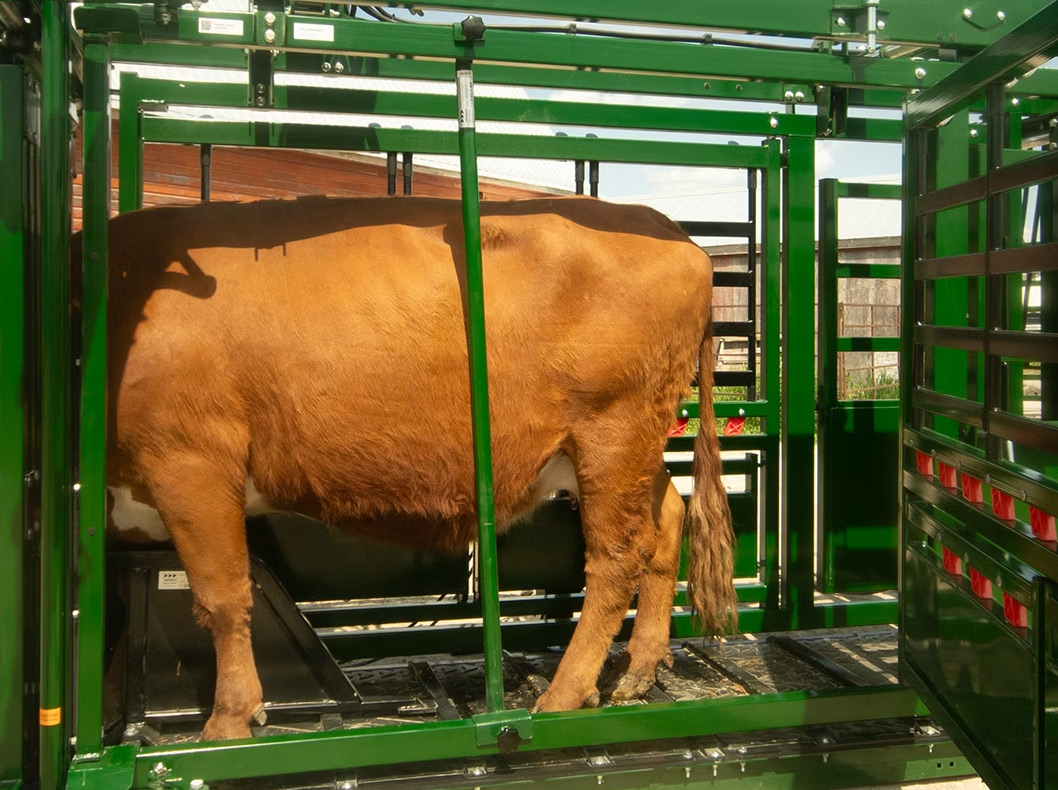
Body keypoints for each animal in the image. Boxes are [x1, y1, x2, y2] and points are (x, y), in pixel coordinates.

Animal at [96, 195, 736, 741]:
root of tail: (666, 227)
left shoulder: (189, 460)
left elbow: (221, 596)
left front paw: (227, 722)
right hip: (619, 451)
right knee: (667, 519)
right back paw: (637, 671)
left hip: (613, 432)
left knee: (616, 556)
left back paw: (562, 697)